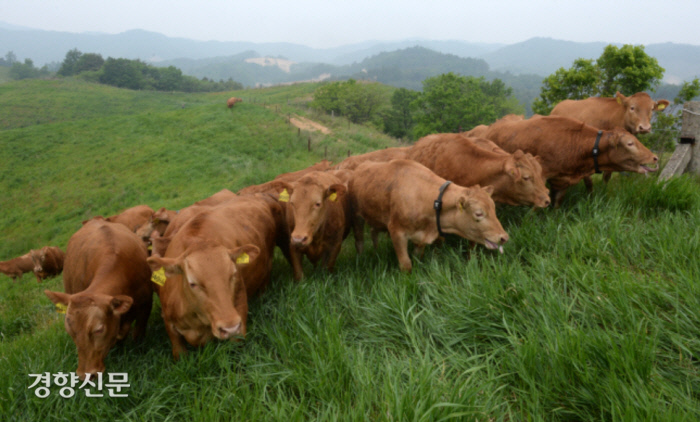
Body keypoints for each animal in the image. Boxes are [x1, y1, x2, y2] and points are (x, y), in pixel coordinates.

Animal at [350, 159, 508, 274]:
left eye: (494, 209)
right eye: (479, 213)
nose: (504, 237)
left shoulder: (421, 238)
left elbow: (417, 258)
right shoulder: (397, 232)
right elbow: (406, 264)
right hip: (357, 216)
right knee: (359, 240)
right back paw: (360, 258)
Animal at [478, 115, 660, 208]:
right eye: (630, 143)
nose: (655, 157)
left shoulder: (562, 181)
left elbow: (557, 201)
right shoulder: (540, 177)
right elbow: (538, 201)